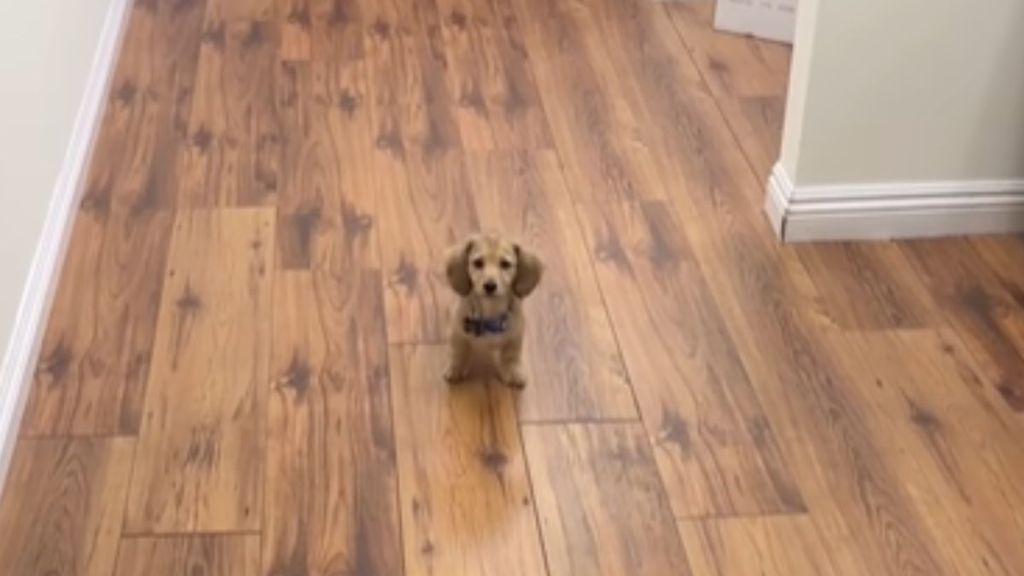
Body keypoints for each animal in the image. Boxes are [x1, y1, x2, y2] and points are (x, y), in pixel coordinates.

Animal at [446, 231, 548, 385]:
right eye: (478, 263)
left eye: (505, 264)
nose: (490, 286)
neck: (491, 309)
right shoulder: (458, 331)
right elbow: (459, 350)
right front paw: (456, 367)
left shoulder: (516, 334)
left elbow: (511, 354)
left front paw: (513, 370)